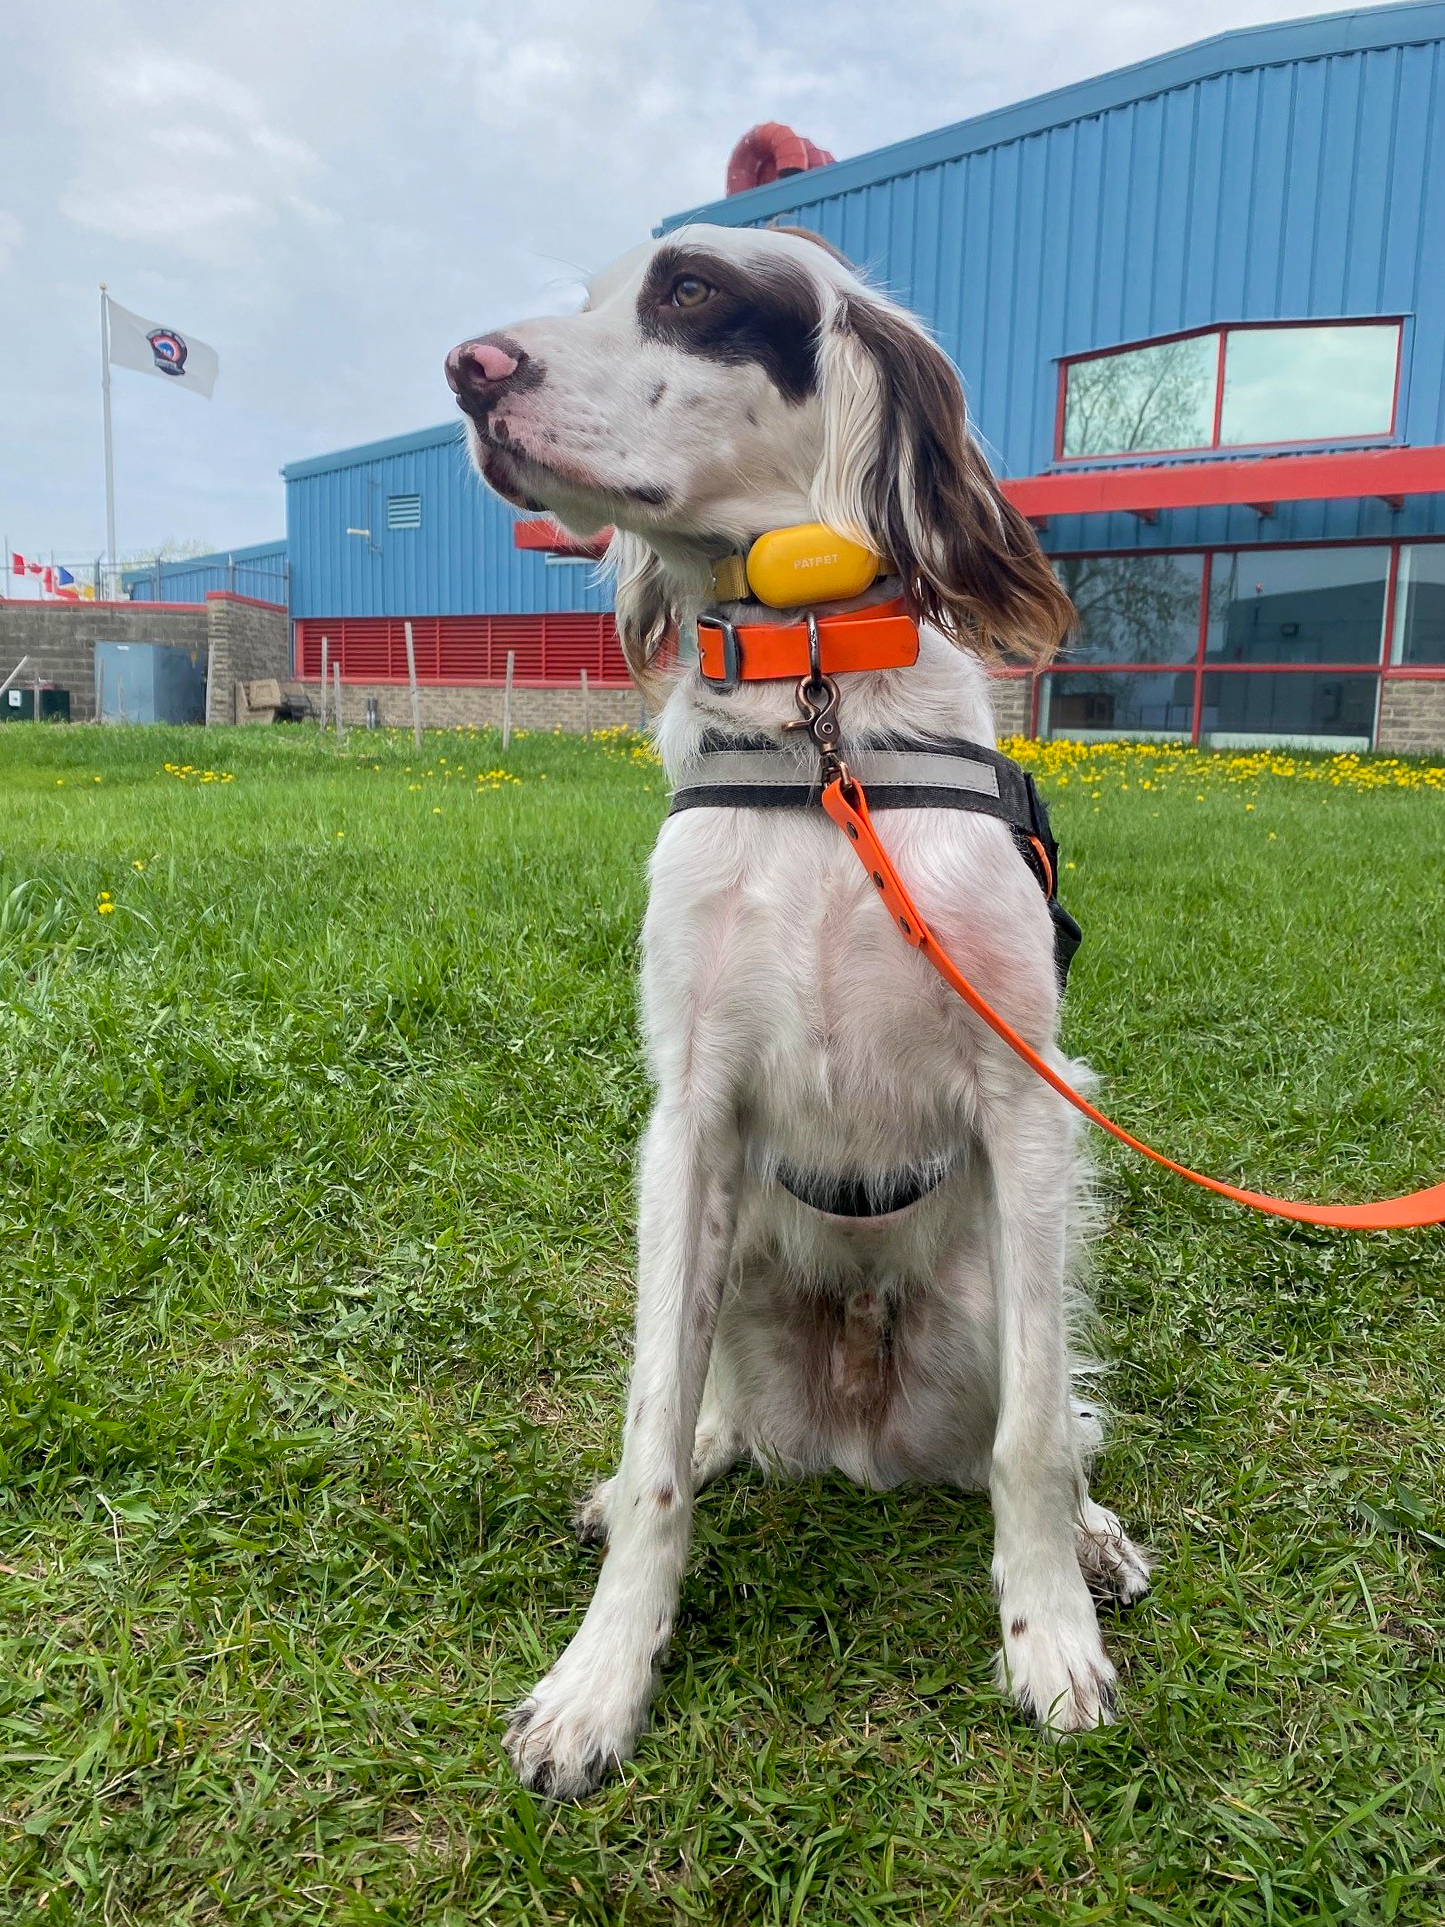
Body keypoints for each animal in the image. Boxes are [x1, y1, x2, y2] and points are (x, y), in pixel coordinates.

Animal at [446, 229, 1148, 1803]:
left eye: (691, 292)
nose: (465, 367)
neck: (817, 709)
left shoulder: (1028, 1097)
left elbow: (1032, 1437)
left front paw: (1048, 1632)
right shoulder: (690, 1116)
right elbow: (651, 1429)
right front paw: (600, 1678)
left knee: (1054, 1413)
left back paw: (1086, 1537)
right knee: (701, 1408)